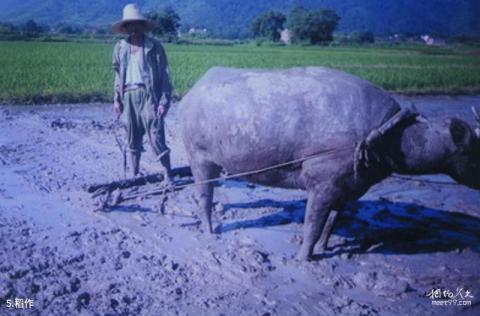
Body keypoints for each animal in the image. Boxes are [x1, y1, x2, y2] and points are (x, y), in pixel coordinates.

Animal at [180, 66, 480, 260]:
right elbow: (312, 226)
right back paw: (209, 230)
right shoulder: (322, 185)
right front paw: (303, 257)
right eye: (470, 149)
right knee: (204, 198)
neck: (389, 137)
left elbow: (331, 224)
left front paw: (324, 248)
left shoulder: (348, 188)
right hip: (199, 160)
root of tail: (194, 93)